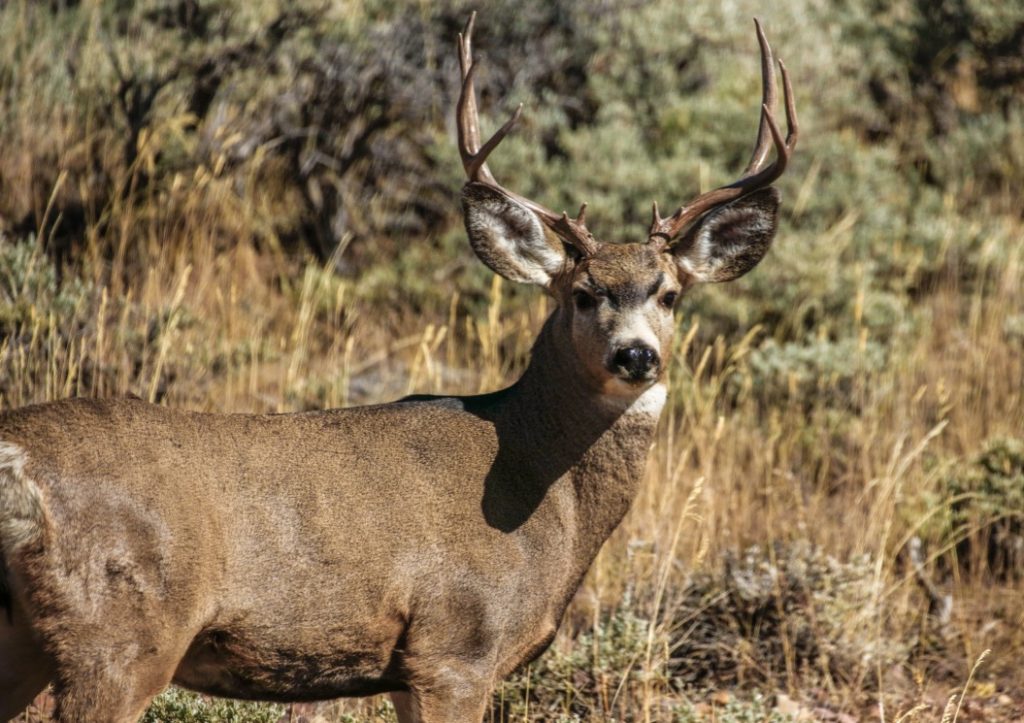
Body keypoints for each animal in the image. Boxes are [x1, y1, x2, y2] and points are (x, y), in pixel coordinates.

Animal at [0, 12, 798, 720]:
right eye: (582, 293)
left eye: (669, 294)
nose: (636, 354)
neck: (540, 488)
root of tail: (15, 459)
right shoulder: (455, 644)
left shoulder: (413, 666)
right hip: (120, 635)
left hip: (32, 638)